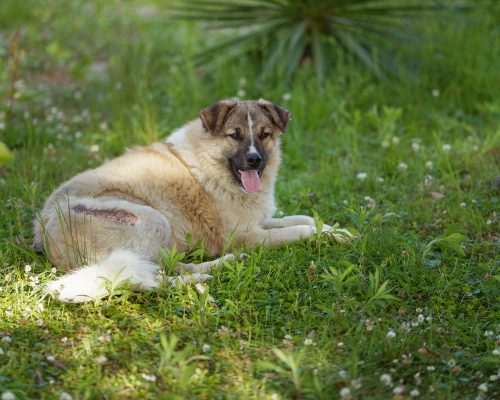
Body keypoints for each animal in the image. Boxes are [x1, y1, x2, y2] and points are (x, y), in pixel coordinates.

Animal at [33, 98, 354, 302]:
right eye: (234, 135)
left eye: (265, 134)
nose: (254, 160)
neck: (213, 166)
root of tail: (45, 236)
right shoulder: (245, 236)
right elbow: (302, 229)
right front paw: (326, 235)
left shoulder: (260, 222)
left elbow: (306, 218)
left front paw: (340, 232)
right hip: (151, 220)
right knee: (158, 278)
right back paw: (210, 273)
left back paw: (222, 266)